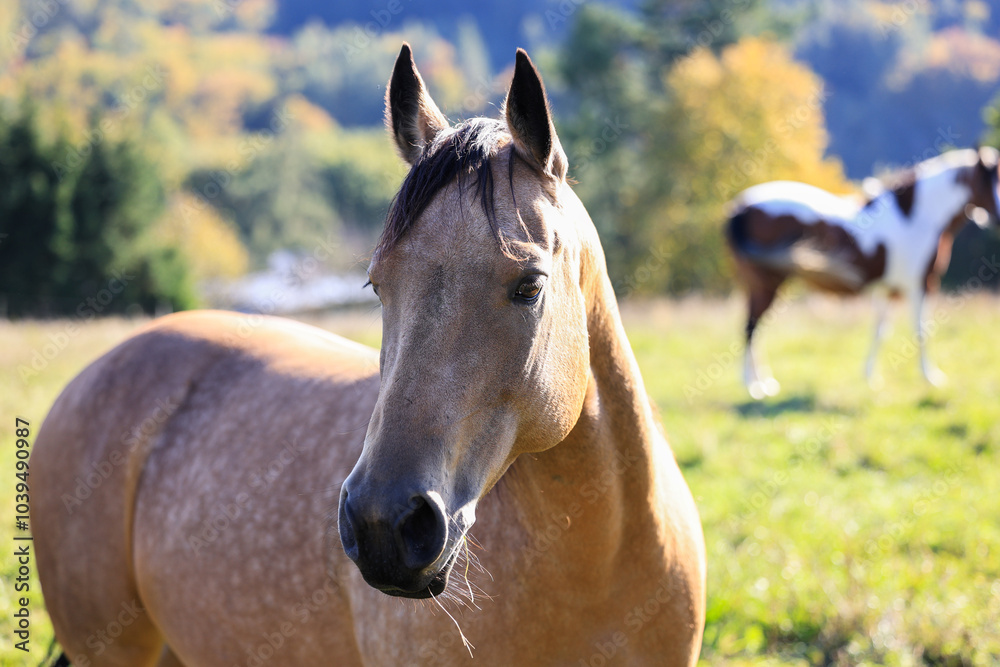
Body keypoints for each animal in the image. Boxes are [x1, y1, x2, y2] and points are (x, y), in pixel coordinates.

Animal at [726, 147, 1000, 399]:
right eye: (989, 180)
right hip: (766, 283)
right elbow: (921, 330)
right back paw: (753, 387)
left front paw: (870, 377)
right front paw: (930, 377)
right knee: (751, 328)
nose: (997, 218)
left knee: (756, 329)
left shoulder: (890, 289)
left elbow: (880, 331)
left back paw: (764, 382)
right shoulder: (921, 284)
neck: (915, 218)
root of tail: (740, 208)